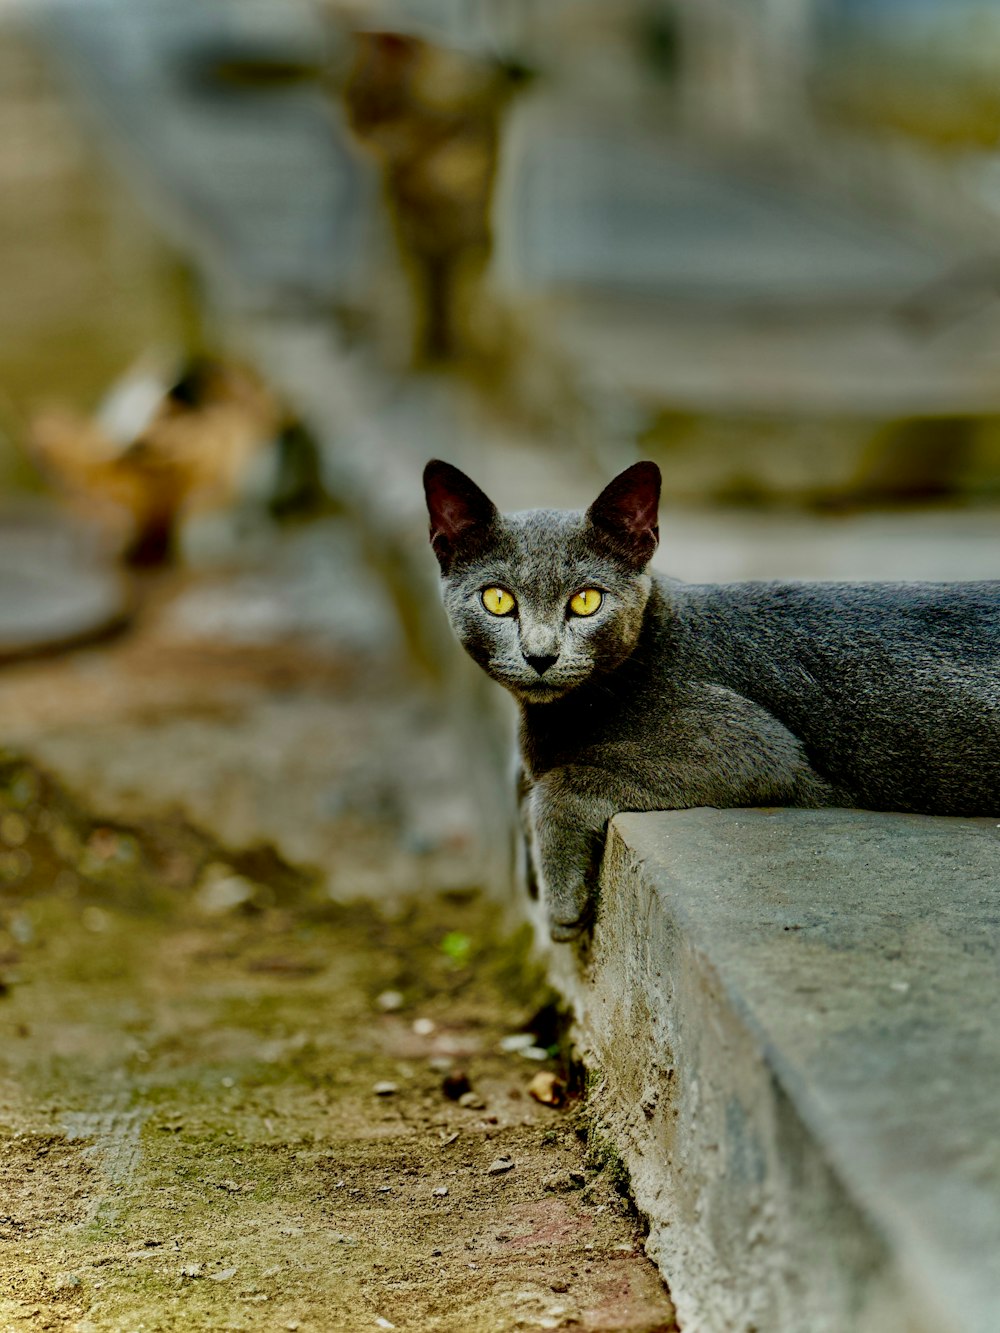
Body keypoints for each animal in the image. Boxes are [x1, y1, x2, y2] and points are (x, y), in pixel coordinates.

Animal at [424, 458, 1000, 938]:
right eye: (498, 600)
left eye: (586, 601)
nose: (540, 655)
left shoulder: (750, 744)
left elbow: (563, 780)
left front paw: (559, 902)